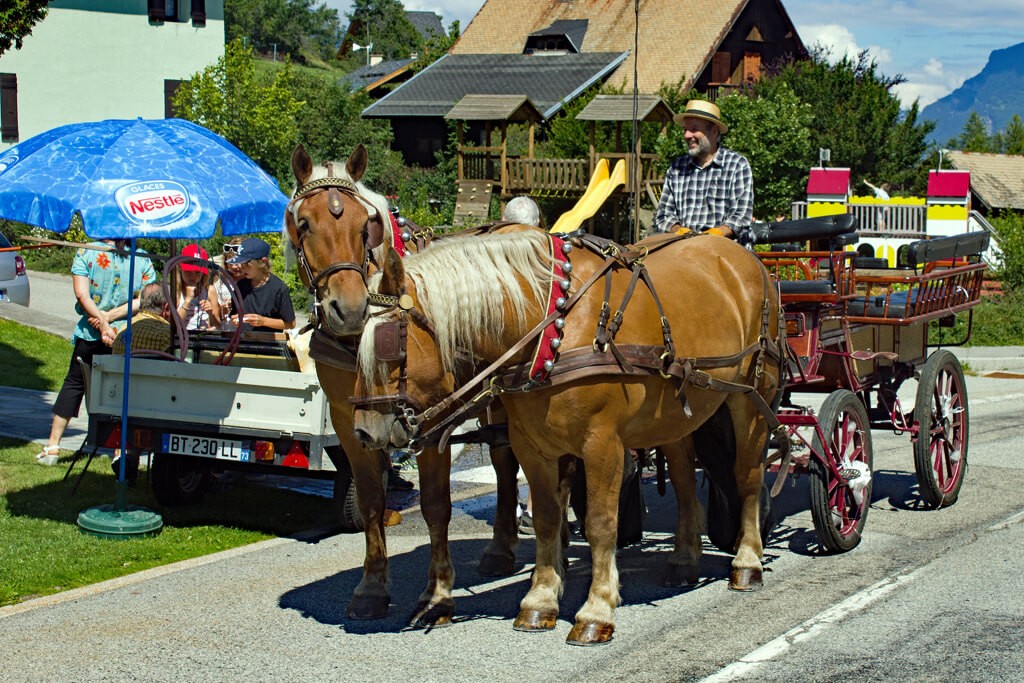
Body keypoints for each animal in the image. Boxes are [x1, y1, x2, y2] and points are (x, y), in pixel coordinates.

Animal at [352, 229, 782, 647]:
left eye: (389, 343)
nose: (363, 431)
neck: (551, 326)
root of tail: (747, 258)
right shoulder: (532, 446)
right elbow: (546, 517)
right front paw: (540, 601)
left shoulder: (602, 444)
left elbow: (600, 523)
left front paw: (597, 610)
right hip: (675, 414)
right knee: (682, 480)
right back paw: (684, 560)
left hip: (751, 397)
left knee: (747, 476)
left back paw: (747, 562)